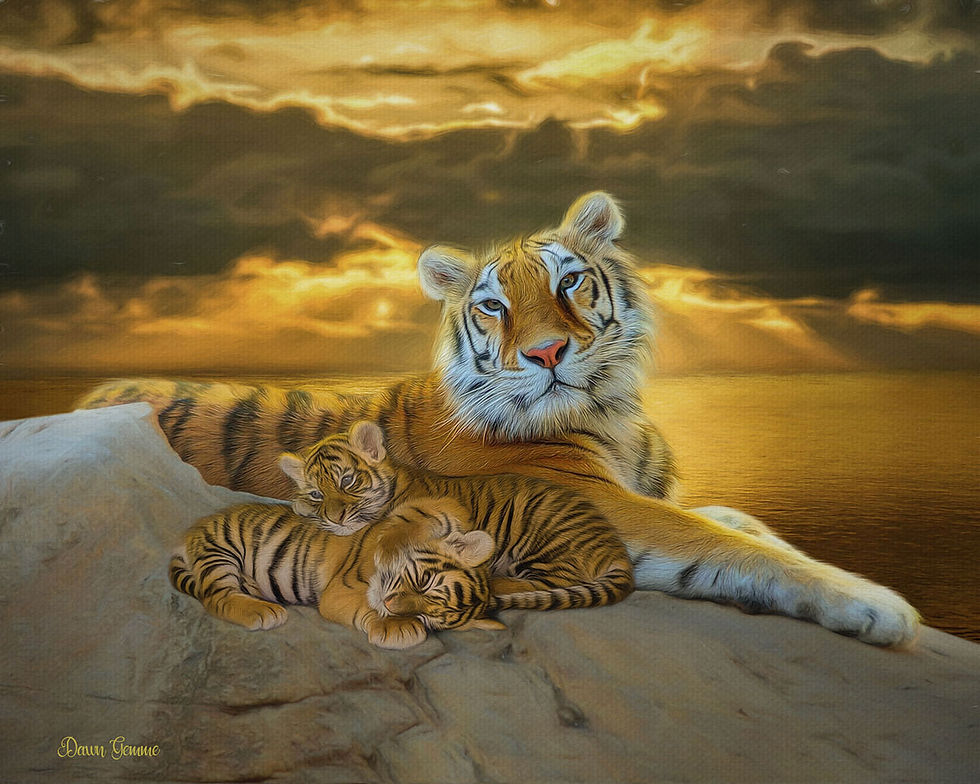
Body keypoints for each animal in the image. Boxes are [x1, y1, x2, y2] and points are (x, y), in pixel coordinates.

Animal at [279, 420, 633, 615]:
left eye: (347, 481)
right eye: (317, 493)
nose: (336, 519)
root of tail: (614, 546)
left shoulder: (446, 506)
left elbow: (404, 521)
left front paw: (386, 547)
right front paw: (301, 506)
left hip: (542, 541)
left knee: (554, 581)